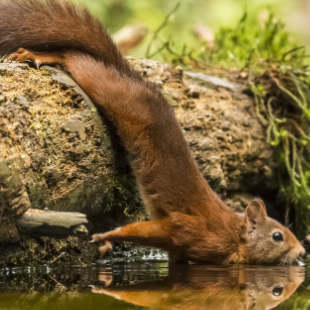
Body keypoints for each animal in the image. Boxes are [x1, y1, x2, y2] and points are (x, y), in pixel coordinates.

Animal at [0, 0, 306, 266]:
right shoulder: (188, 229)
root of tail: (134, 79)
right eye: (278, 236)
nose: (302, 252)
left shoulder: (182, 252)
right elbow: (147, 230)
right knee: (76, 57)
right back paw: (38, 55)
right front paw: (106, 237)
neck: (233, 234)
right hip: (107, 87)